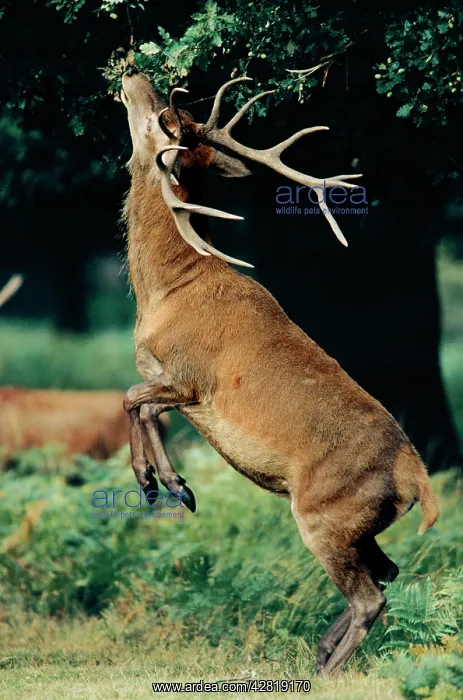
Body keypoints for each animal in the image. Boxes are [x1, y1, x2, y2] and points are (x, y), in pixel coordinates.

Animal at [120, 67, 439, 674]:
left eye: (157, 121)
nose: (133, 72)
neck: (164, 293)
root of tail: (418, 477)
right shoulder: (176, 387)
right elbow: (140, 405)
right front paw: (173, 485)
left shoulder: (191, 380)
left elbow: (129, 397)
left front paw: (155, 481)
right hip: (355, 526)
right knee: (388, 573)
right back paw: (321, 650)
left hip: (322, 514)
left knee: (370, 596)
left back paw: (328, 670)